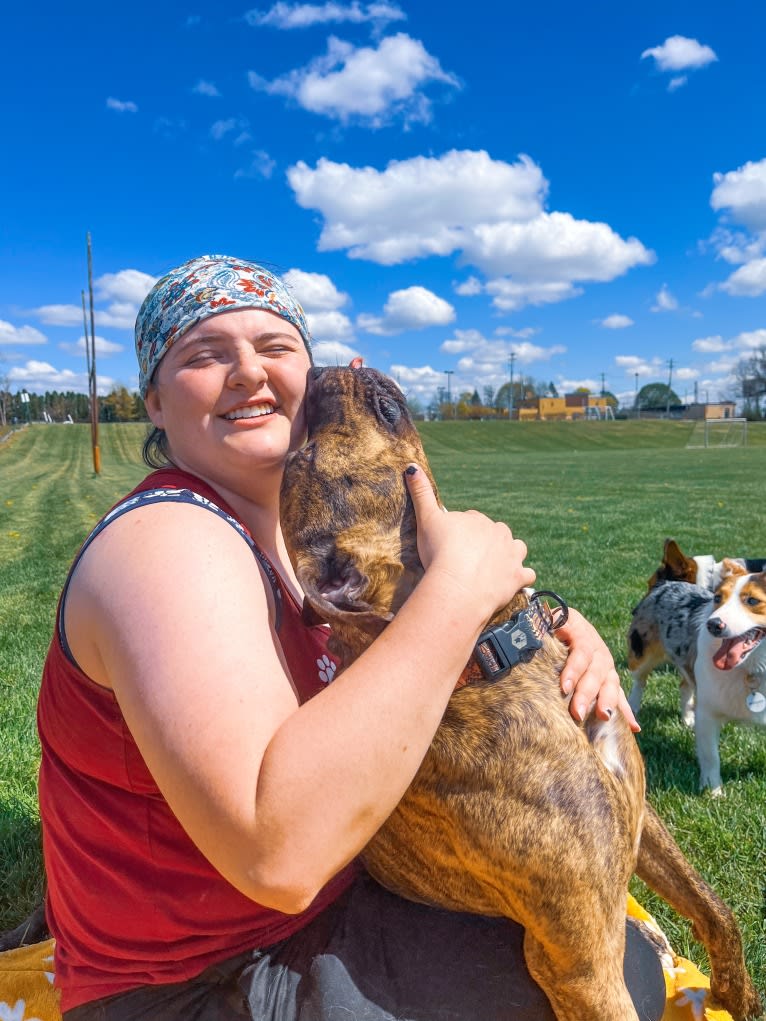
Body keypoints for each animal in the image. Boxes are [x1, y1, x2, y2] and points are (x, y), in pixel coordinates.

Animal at [279, 365, 763, 1021]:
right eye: (302, 459)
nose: (320, 368)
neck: (492, 657)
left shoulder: (639, 821)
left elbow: (716, 910)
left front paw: (738, 996)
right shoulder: (584, 964)